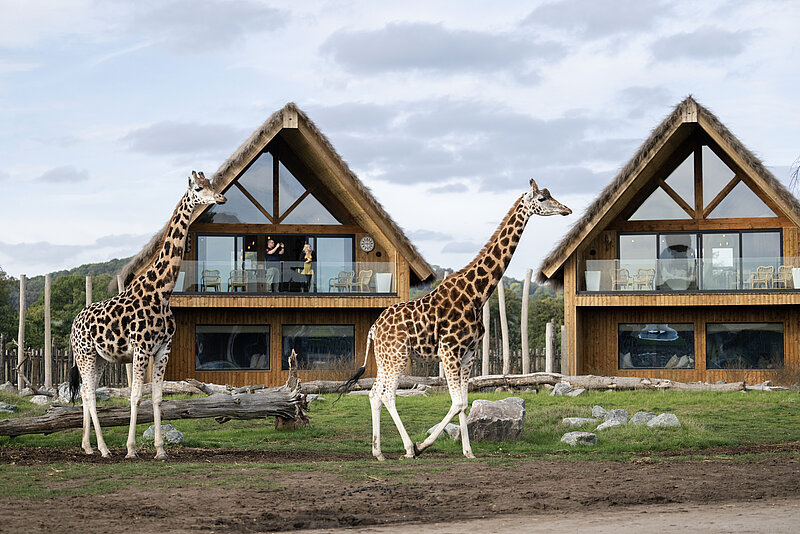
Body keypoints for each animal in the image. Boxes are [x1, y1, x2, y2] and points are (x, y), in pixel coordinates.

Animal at [68, 171, 225, 460]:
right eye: (199, 188)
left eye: (211, 183)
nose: (220, 197)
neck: (162, 291)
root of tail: (73, 324)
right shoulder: (141, 349)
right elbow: (135, 396)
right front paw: (131, 450)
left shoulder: (164, 349)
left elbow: (157, 397)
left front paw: (160, 450)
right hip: (84, 354)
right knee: (90, 394)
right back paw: (104, 448)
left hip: (100, 358)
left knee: (86, 391)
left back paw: (88, 446)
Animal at [343, 179, 571, 460]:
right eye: (541, 198)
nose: (567, 210)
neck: (477, 295)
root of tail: (374, 328)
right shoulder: (449, 351)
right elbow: (458, 402)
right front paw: (422, 445)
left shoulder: (468, 354)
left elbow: (463, 403)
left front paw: (468, 451)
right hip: (397, 356)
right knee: (387, 395)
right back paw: (407, 448)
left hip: (386, 358)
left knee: (375, 393)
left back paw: (378, 452)